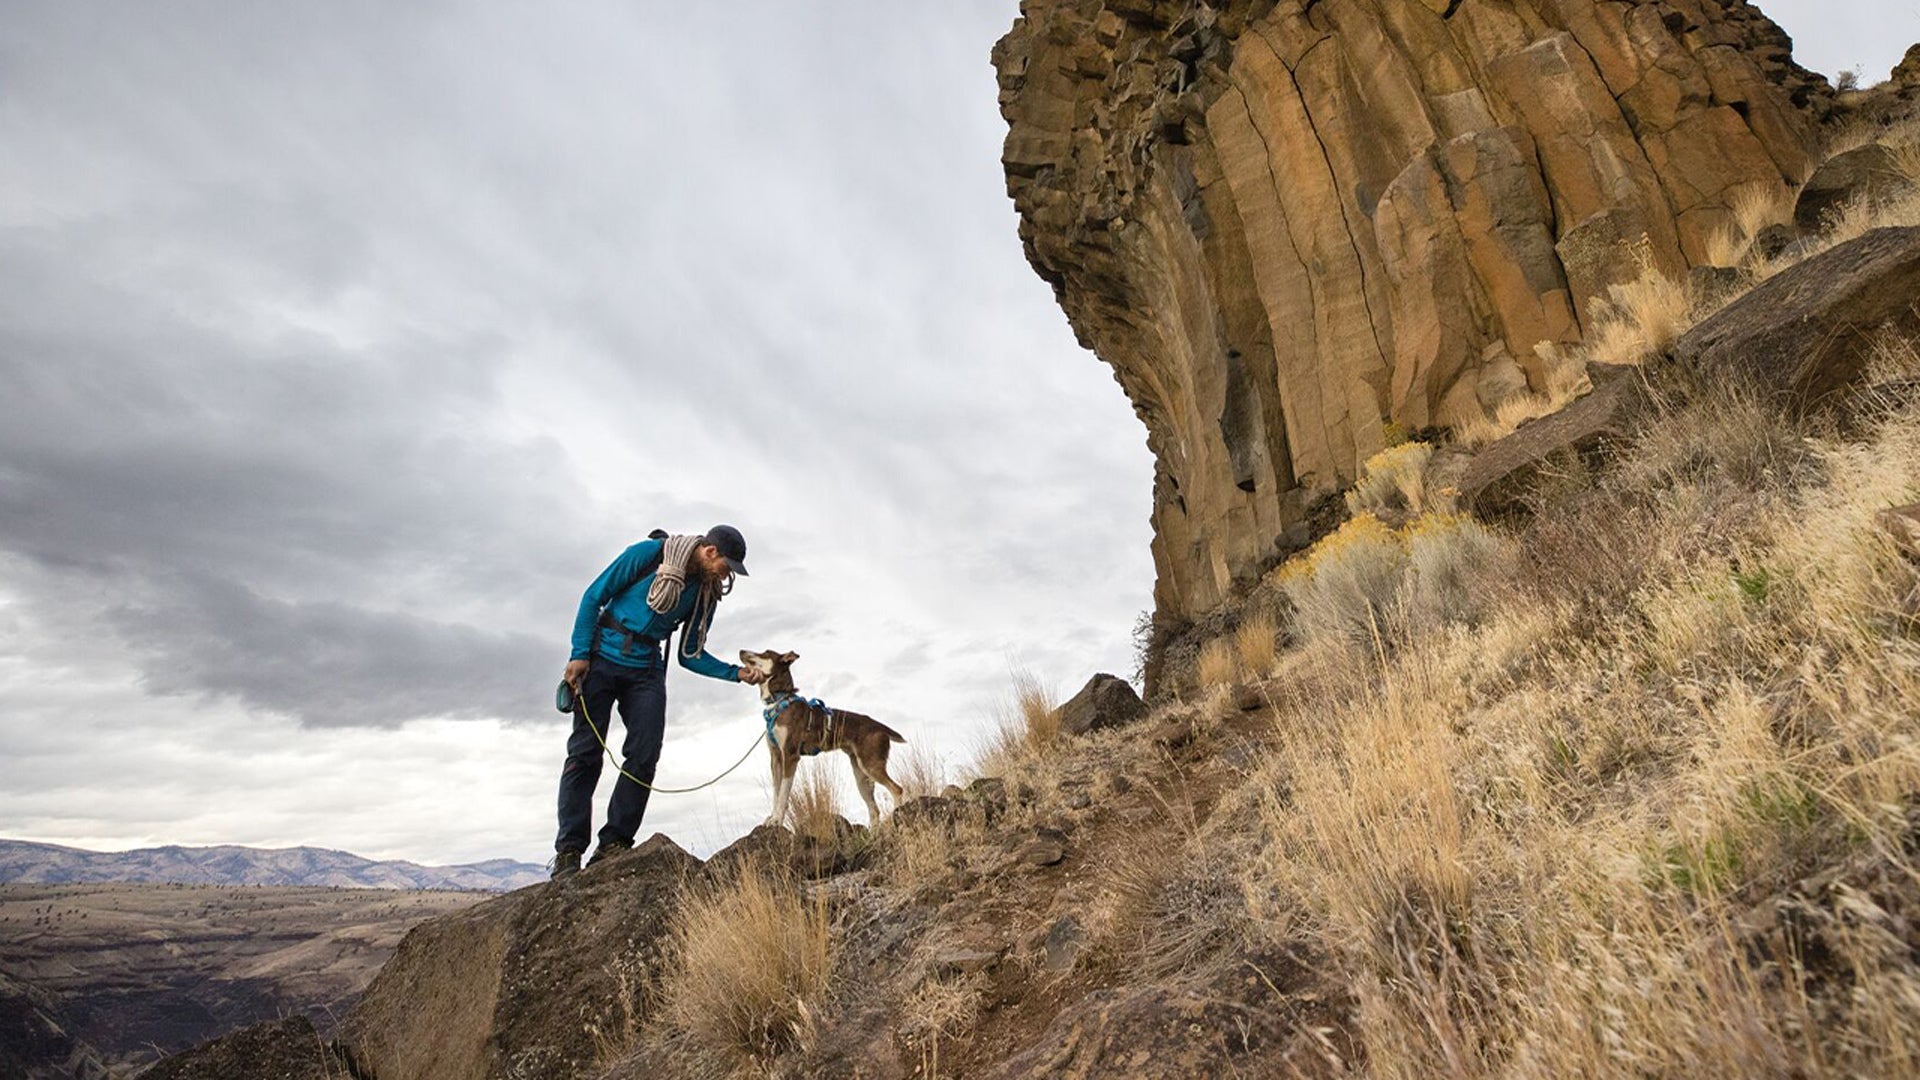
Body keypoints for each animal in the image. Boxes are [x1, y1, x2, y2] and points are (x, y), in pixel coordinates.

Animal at [741, 645, 906, 822]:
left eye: (765, 653)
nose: (741, 651)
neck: (779, 699)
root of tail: (879, 726)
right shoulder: (776, 757)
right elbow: (776, 793)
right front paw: (773, 818)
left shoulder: (790, 755)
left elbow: (783, 794)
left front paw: (777, 819)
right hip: (861, 775)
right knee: (874, 810)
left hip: (871, 765)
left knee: (897, 789)